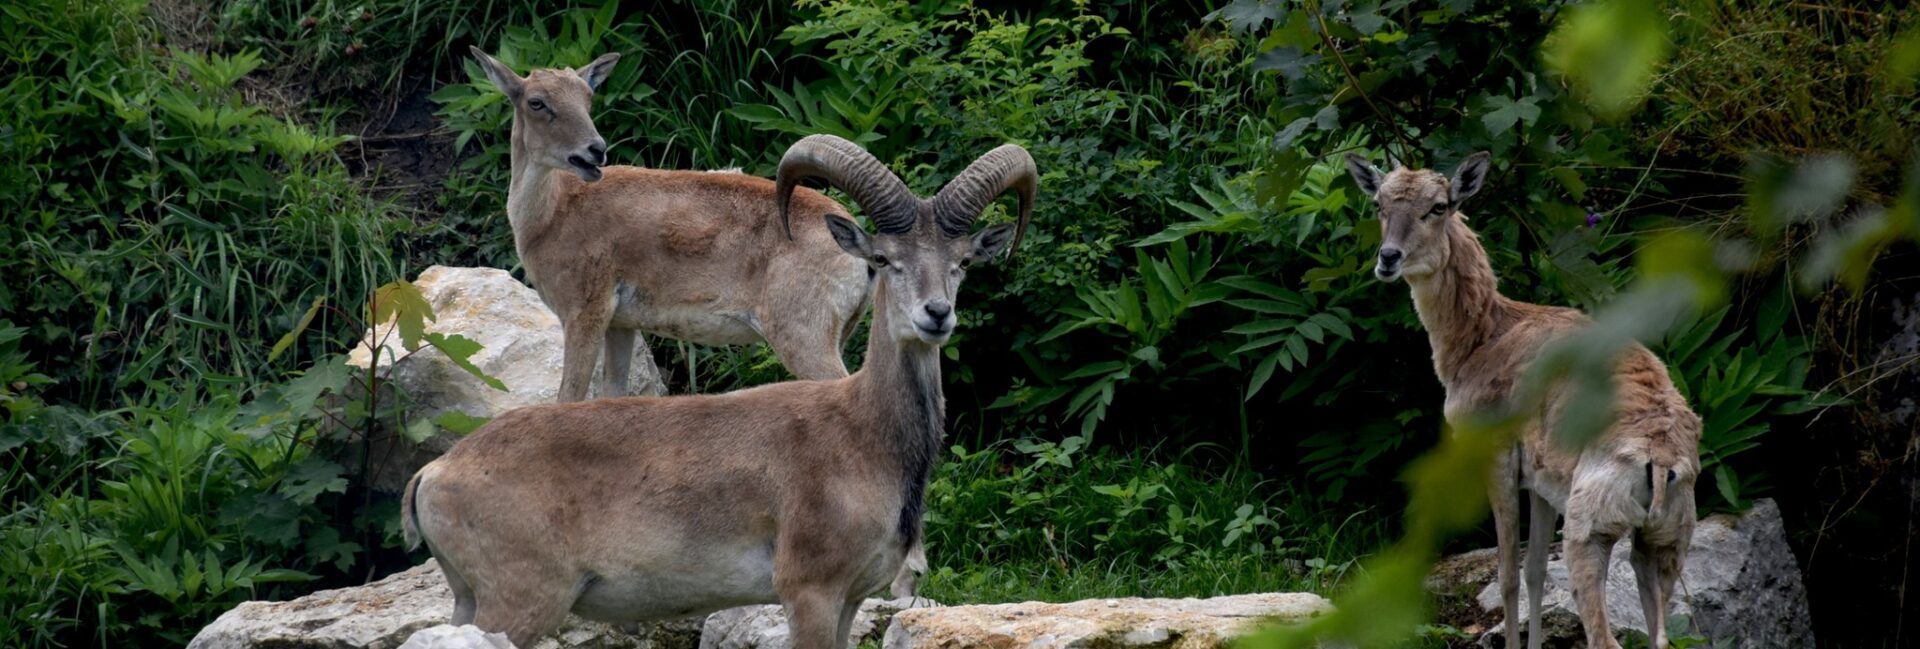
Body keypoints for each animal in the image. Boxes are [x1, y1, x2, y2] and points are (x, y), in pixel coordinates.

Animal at [399, 134, 1044, 645]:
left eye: (962, 262)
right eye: (885, 258)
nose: (935, 315)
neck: (861, 434)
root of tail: (435, 474)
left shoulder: (851, 598)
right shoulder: (808, 591)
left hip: (469, 602)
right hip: (519, 601)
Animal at [470, 48, 871, 401]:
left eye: (587, 97)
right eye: (536, 101)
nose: (594, 150)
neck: (552, 214)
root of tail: (861, 249)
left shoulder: (584, 311)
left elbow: (569, 397)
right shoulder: (620, 324)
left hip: (805, 336)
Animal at [1351, 153, 1697, 649]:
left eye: (1439, 206)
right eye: (1378, 202)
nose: (1388, 257)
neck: (1482, 338)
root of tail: (1662, 460)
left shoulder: (1497, 457)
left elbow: (1508, 576)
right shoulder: (1542, 481)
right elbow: (1534, 571)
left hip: (1590, 531)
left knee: (1605, 637)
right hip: (1666, 542)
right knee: (1660, 635)